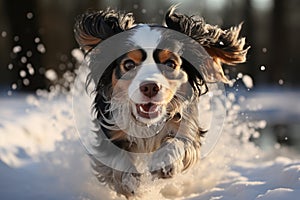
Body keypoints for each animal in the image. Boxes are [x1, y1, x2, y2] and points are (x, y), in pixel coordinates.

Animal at [73, 6, 248, 198]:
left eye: (170, 64)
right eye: (128, 65)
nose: (150, 87)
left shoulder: (186, 127)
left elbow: (177, 143)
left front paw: (164, 163)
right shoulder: (110, 130)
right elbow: (118, 159)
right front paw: (131, 184)